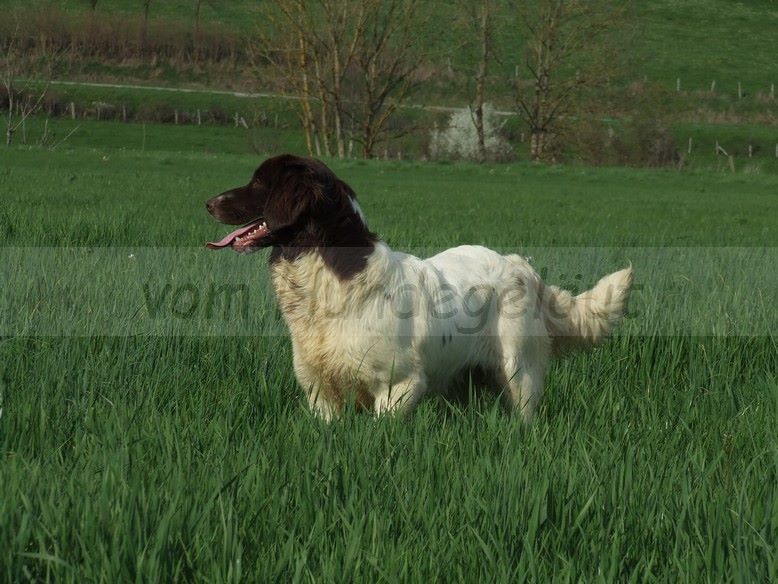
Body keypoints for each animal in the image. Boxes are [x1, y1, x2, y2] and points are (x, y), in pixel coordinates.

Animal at [206, 154, 633, 422]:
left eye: (259, 183)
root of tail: (521, 265)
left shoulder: (400, 384)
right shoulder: (321, 391)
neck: (330, 273)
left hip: (519, 373)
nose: (208, 202)